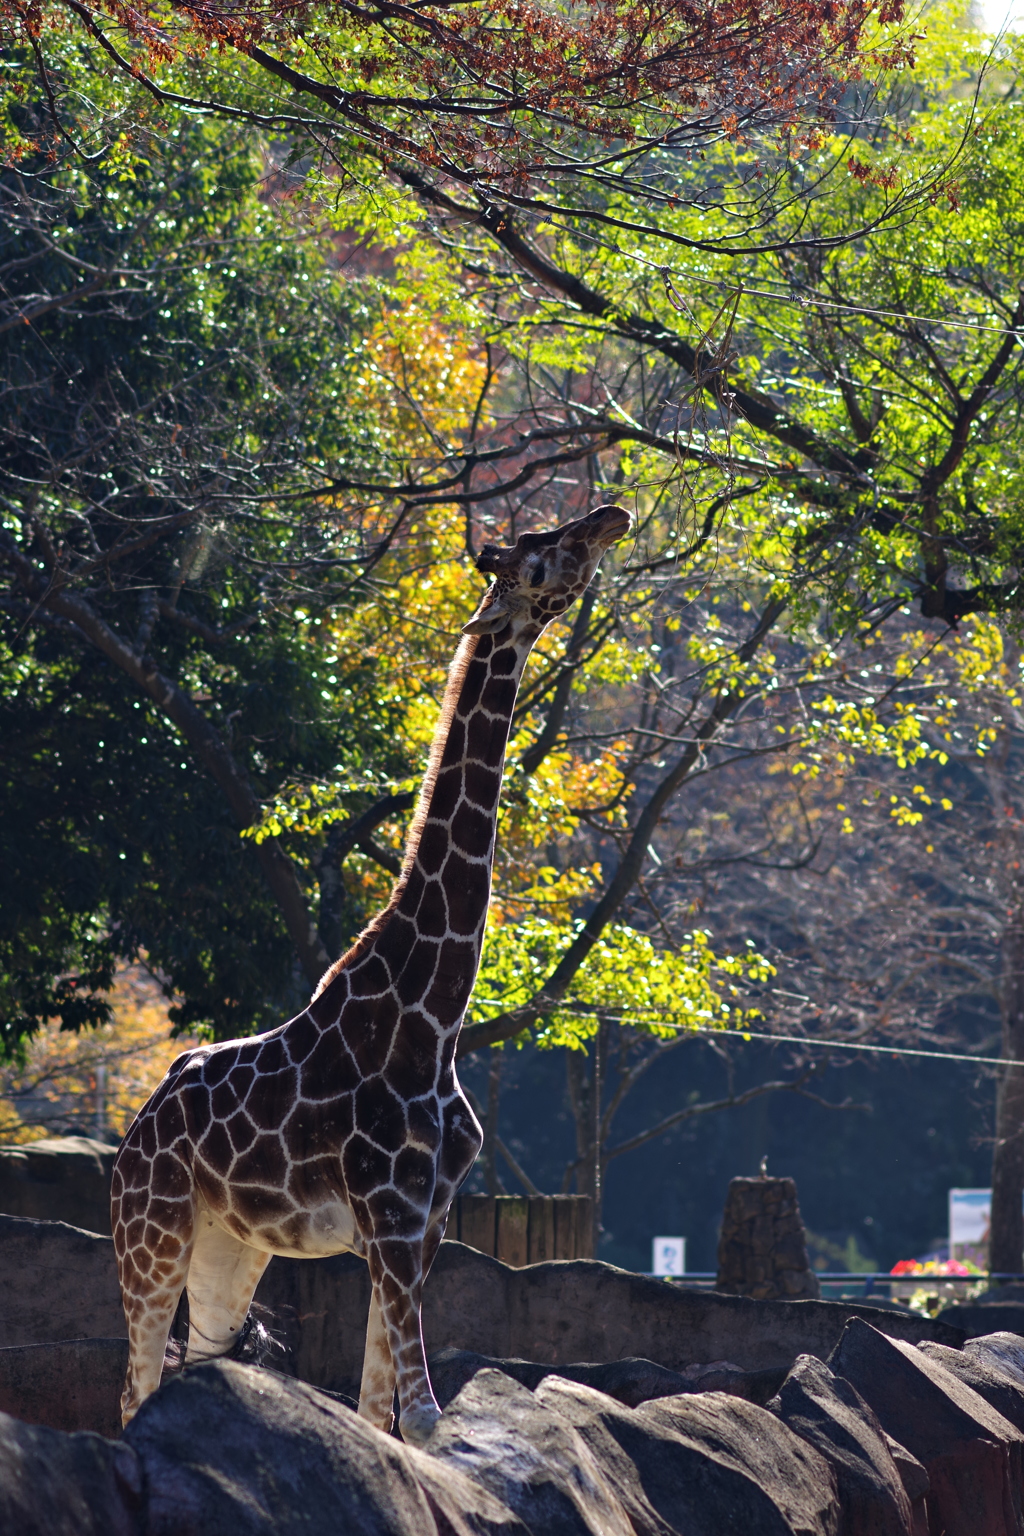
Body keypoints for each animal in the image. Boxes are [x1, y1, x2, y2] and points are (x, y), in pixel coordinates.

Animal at [108, 500, 629, 1437]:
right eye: (537, 556)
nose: (611, 514)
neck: (435, 1016)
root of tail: (135, 1129)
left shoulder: (426, 1227)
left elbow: (379, 1410)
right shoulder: (388, 1214)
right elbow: (418, 1416)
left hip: (230, 1253)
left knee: (191, 1375)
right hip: (151, 1238)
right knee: (133, 1392)